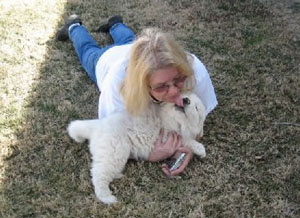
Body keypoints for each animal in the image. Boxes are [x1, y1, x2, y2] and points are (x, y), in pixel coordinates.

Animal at [67, 92, 206, 204]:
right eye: (183, 94)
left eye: (196, 108)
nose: (185, 100)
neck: (175, 121)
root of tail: (97, 126)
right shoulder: (168, 133)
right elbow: (186, 140)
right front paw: (201, 149)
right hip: (114, 151)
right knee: (98, 174)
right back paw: (107, 197)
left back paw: (117, 175)